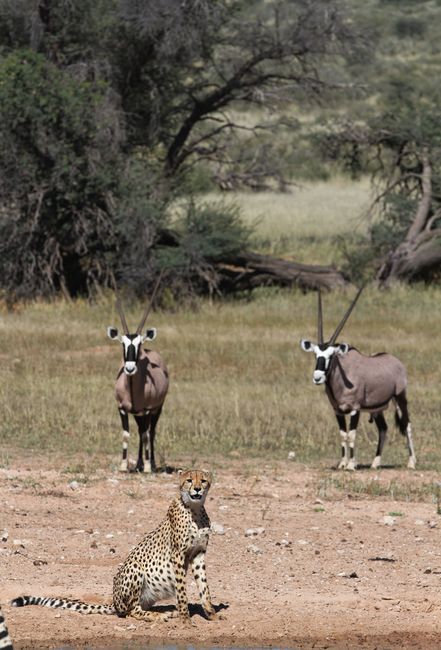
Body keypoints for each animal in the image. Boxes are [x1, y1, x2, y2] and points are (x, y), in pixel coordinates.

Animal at [11, 469, 216, 623]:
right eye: (189, 480)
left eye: (203, 480)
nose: (197, 489)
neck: (195, 510)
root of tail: (115, 601)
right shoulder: (178, 555)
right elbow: (181, 589)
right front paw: (185, 618)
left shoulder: (198, 553)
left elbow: (204, 586)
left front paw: (211, 614)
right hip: (135, 569)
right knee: (131, 611)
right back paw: (158, 616)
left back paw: (165, 612)